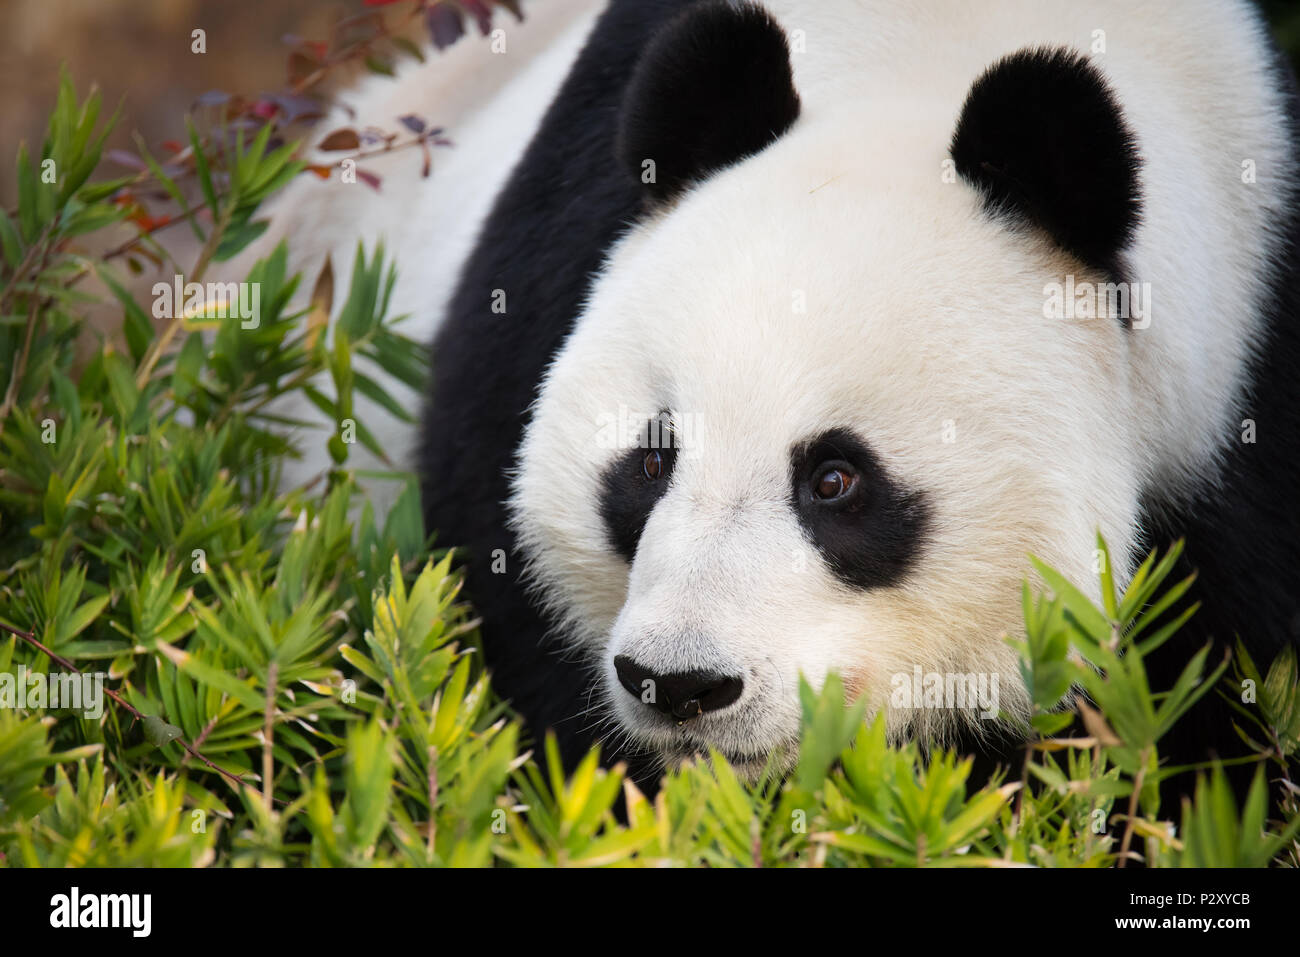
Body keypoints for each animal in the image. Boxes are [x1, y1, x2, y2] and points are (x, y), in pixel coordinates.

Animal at [265, 0, 1300, 795]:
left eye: (836, 479)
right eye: (652, 459)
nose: (680, 683)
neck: (922, 70)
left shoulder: (1234, 400)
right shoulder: (555, 247)